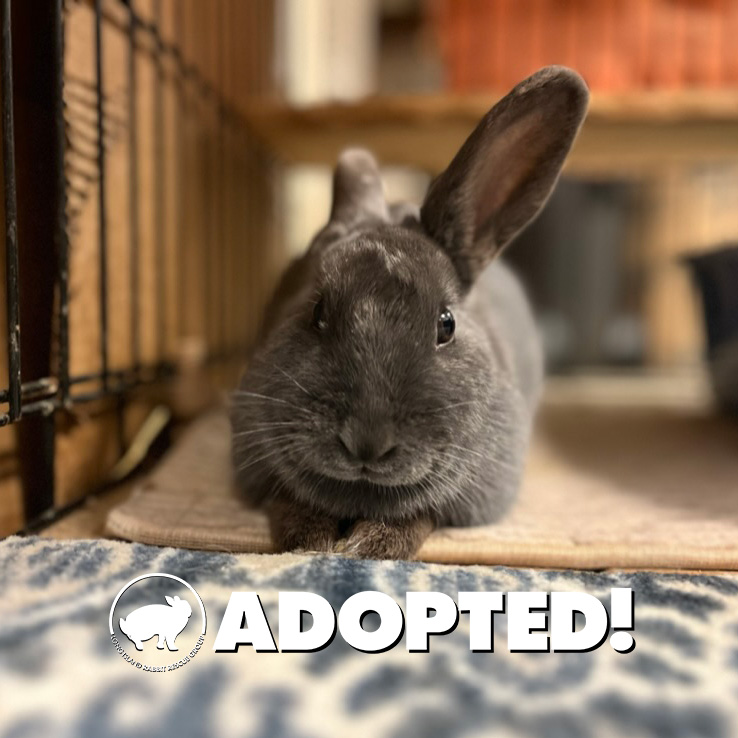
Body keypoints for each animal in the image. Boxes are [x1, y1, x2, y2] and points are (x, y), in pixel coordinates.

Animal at [231, 66, 589, 560]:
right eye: (316, 311)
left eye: (446, 324)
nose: (367, 442)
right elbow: (288, 503)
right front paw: (313, 542)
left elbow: (418, 516)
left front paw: (368, 545)